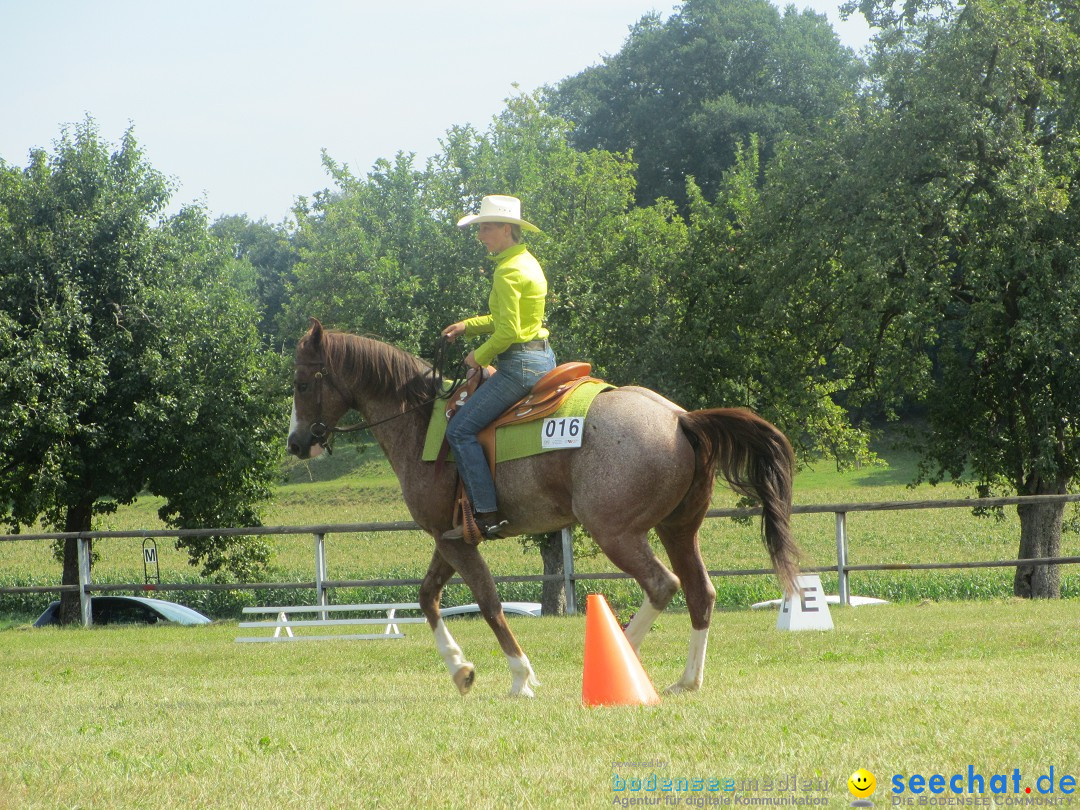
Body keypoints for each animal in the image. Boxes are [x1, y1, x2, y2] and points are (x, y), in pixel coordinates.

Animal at [287, 319, 803, 699]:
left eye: (301, 383)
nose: (295, 443)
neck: (422, 424)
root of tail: (680, 418)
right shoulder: (448, 537)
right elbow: (428, 597)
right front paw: (460, 671)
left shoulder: (454, 541)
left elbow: (489, 603)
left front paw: (520, 677)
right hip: (679, 530)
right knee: (700, 592)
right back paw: (687, 680)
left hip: (616, 532)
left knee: (663, 585)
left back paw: (619, 661)